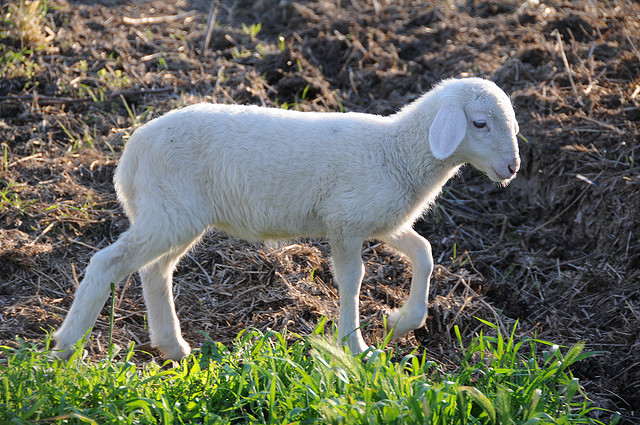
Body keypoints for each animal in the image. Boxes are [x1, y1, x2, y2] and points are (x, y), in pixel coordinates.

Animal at [50, 76, 520, 358]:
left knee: (155, 270)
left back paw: (173, 347)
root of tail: (129, 157)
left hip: (173, 214)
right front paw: (355, 346)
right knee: (108, 263)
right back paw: (66, 346)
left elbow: (423, 252)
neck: (397, 152)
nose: (512, 168)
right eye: (480, 123)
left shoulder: (381, 221)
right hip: (168, 211)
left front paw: (402, 322)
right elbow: (353, 280)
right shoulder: (344, 221)